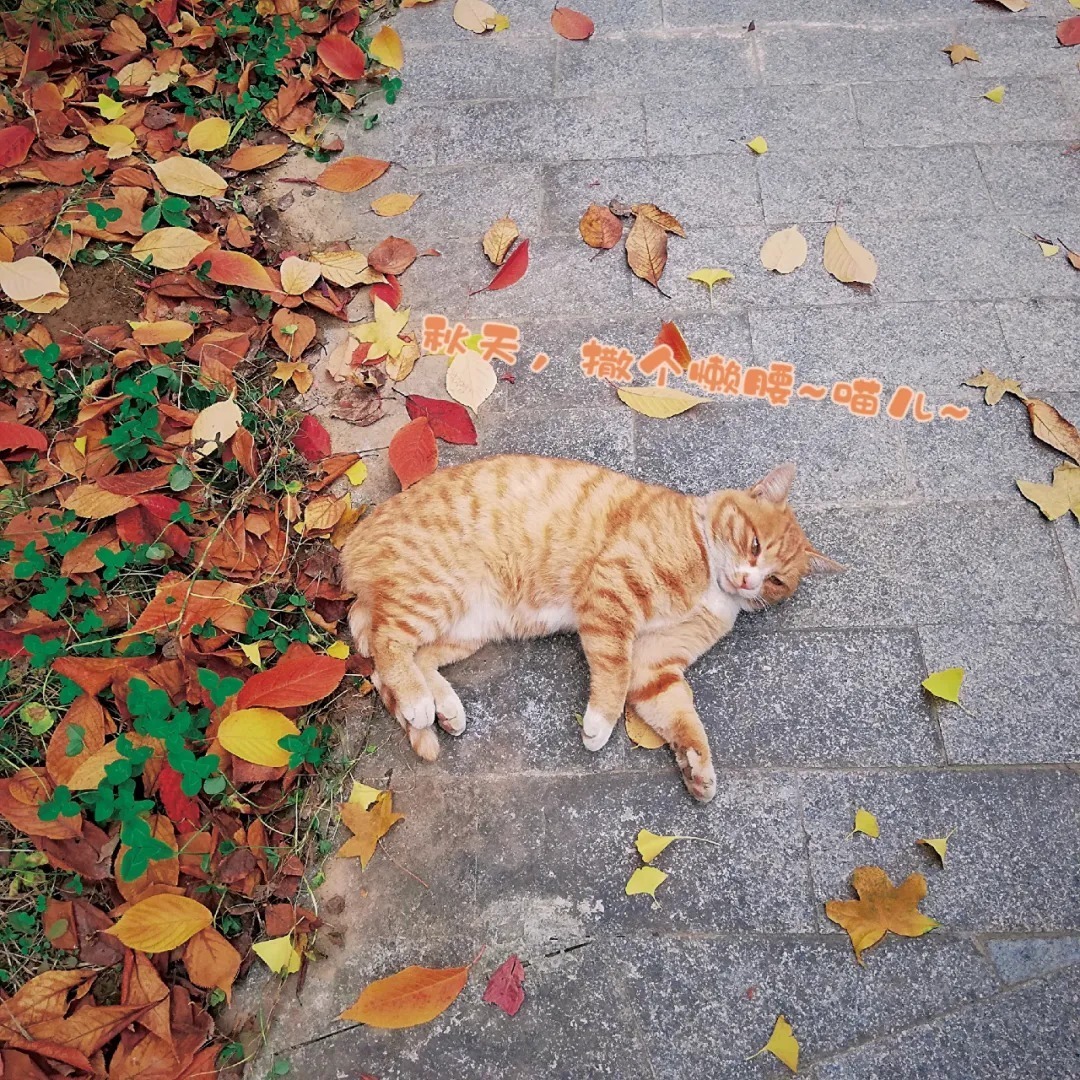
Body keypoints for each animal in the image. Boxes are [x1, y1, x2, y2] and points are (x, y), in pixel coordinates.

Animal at [341, 455, 838, 803]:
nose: (749, 582)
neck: (711, 579)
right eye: (754, 544)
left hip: (467, 628)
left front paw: (697, 766)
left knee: (410, 660)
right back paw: (418, 703)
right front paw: (599, 722)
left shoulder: (656, 666)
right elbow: (614, 671)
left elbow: (679, 714)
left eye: (776, 581)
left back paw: (441, 707)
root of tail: (355, 542)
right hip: (435, 592)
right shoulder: (612, 594)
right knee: (388, 644)